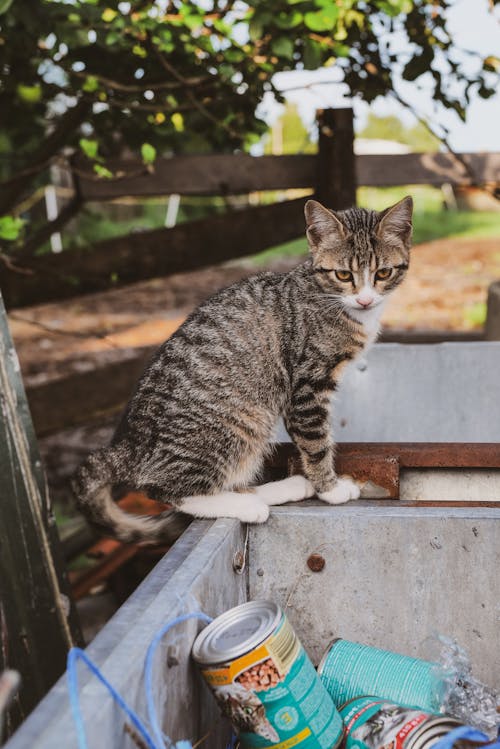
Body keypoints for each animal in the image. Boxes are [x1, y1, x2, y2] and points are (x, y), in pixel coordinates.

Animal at [72, 196, 412, 540]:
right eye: (343, 275)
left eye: (383, 272)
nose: (365, 300)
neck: (328, 298)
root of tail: (128, 446)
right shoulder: (306, 384)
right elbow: (316, 442)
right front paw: (330, 489)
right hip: (240, 422)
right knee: (165, 489)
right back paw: (246, 506)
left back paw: (282, 489)